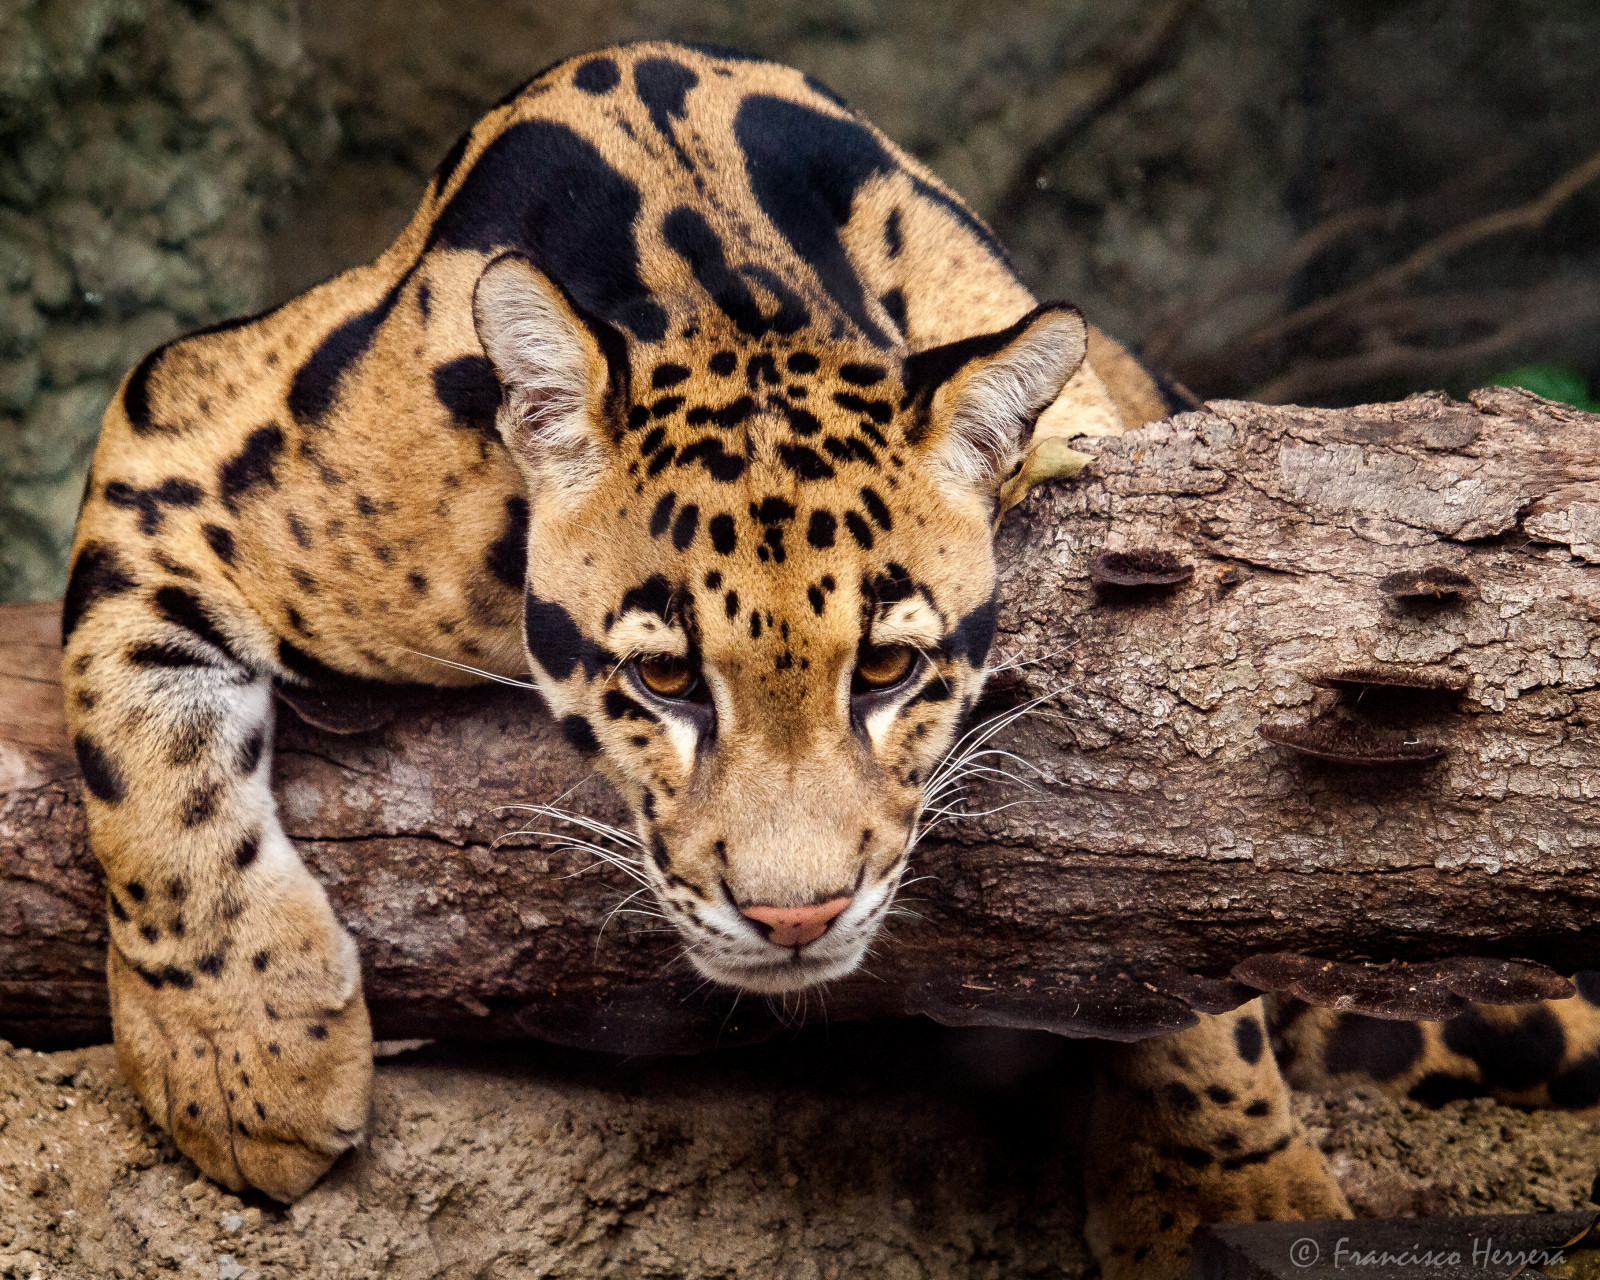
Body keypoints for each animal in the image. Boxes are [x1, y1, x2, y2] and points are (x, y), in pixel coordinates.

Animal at [59, 40, 1600, 1278]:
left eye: (889, 673)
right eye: (665, 680)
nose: (795, 916)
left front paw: (1226, 1186)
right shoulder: (184, 428)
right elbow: (134, 737)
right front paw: (241, 1060)